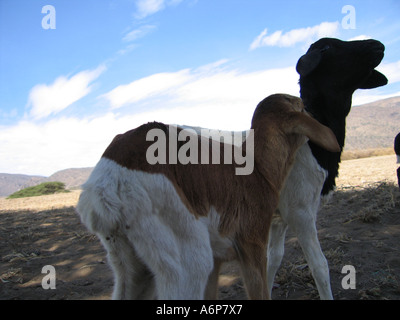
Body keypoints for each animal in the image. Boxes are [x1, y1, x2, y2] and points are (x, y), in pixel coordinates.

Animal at [76, 94, 340, 298]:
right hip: (189, 264)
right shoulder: (252, 247)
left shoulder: (219, 262)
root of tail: (105, 182)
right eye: (300, 106)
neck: (257, 169)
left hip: (132, 266)